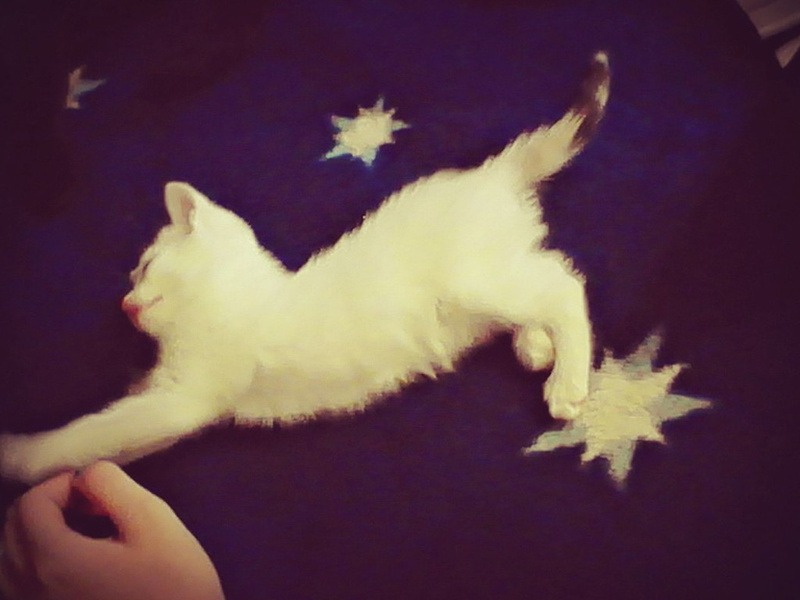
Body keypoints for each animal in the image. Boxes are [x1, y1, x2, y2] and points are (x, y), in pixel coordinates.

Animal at [0, 52, 610, 484]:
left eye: (144, 266)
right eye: (133, 277)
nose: (125, 302)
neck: (234, 297)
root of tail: (491, 173)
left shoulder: (183, 397)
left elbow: (87, 432)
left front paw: (17, 455)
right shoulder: (177, 405)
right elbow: (113, 442)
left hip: (474, 281)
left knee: (562, 282)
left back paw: (566, 380)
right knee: (541, 277)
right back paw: (535, 345)